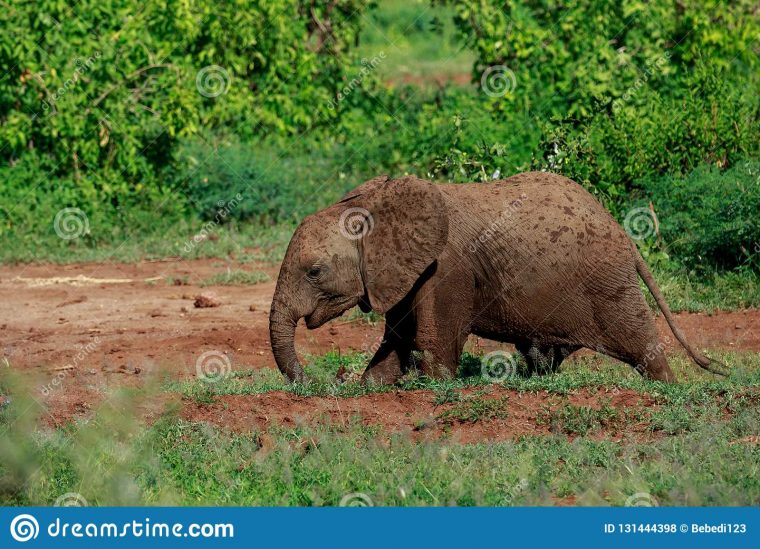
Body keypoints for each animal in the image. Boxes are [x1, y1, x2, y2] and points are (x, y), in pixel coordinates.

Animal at [268, 173, 724, 384]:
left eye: (314, 271)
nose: (326, 380)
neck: (375, 205)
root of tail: (623, 233)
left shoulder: (445, 269)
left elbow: (432, 342)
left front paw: (433, 387)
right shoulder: (404, 273)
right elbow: (396, 340)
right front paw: (369, 386)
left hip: (607, 280)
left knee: (639, 340)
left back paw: (666, 389)